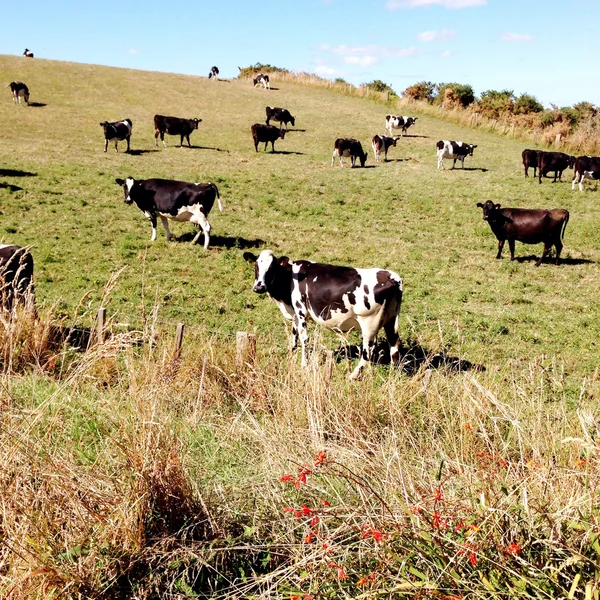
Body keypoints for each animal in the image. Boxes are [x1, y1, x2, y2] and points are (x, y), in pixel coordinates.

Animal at [244, 250, 404, 380]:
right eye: (256, 266)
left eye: (272, 268)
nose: (258, 287)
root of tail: (391, 277)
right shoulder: (295, 313)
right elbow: (293, 335)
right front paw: (290, 352)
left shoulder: (300, 311)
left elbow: (304, 339)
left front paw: (304, 364)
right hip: (391, 319)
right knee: (394, 344)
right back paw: (393, 374)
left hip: (369, 323)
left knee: (368, 350)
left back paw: (353, 375)